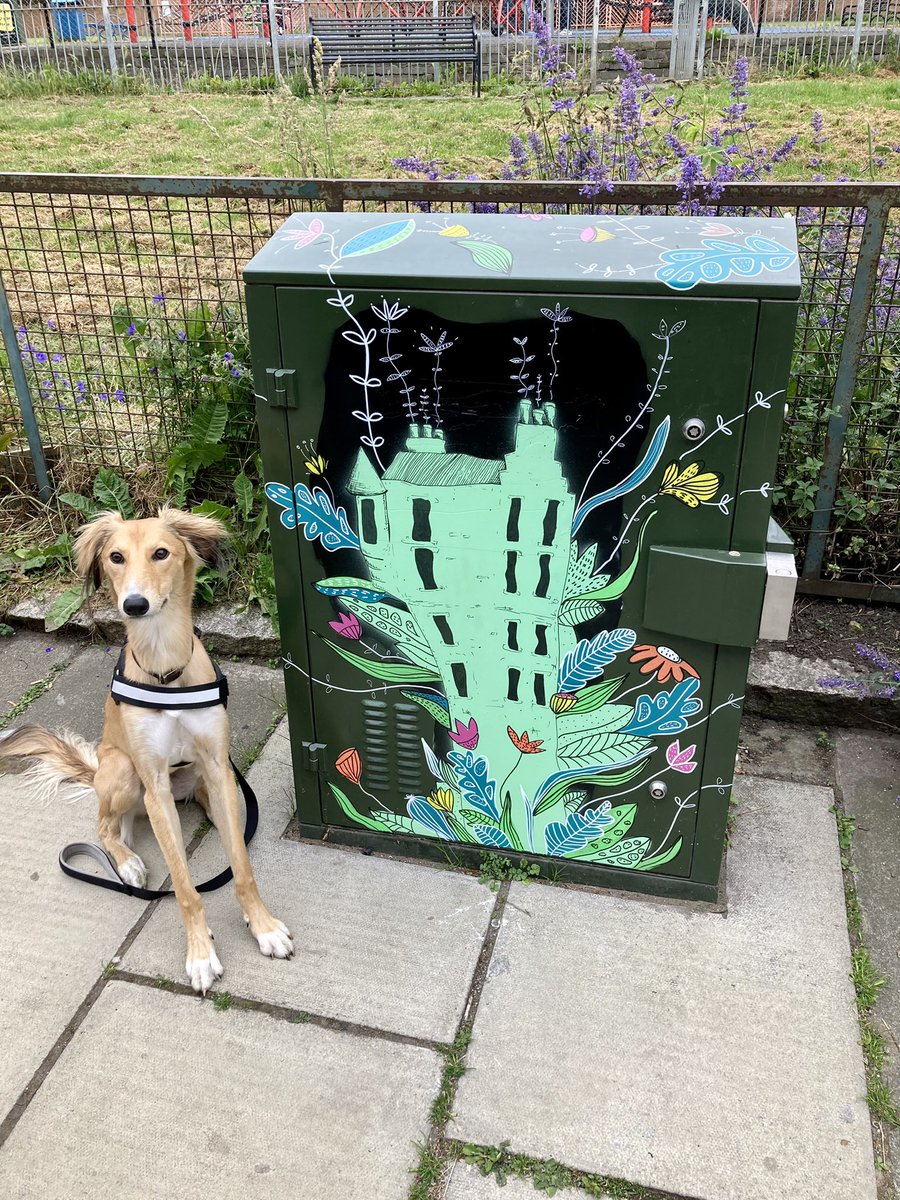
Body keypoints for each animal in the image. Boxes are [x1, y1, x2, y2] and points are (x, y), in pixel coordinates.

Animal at [0, 508, 294, 993]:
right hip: (122, 771)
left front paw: (264, 926)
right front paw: (200, 953)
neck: (165, 669)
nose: (134, 604)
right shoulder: (154, 787)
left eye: (161, 553)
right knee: (105, 826)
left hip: (205, 781)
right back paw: (127, 863)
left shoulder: (218, 768)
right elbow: (185, 888)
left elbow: (242, 867)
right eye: (115, 557)